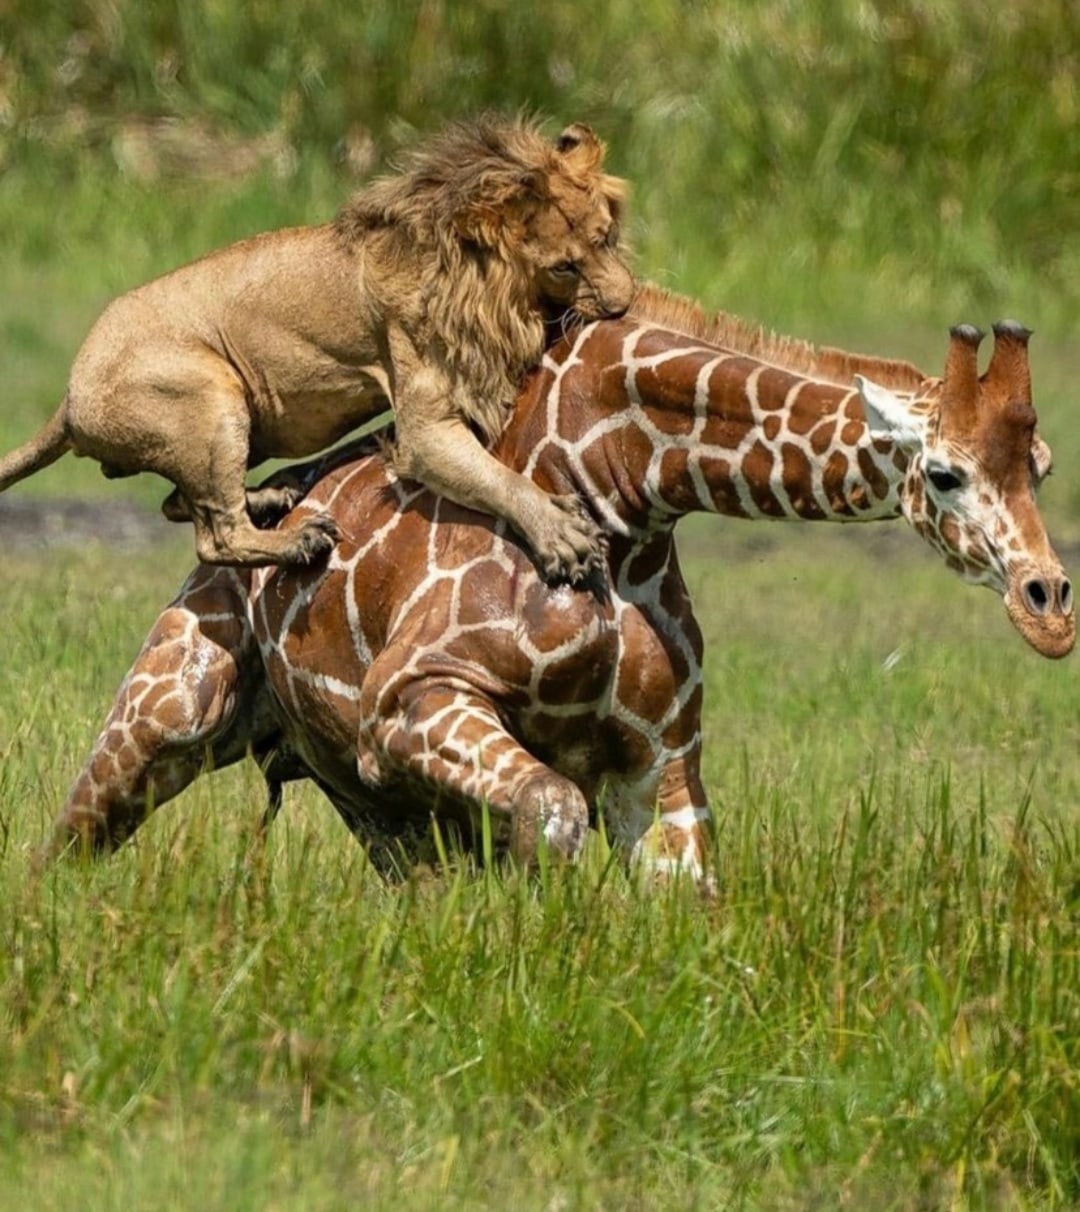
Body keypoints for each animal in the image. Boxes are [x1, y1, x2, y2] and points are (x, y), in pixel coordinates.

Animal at [0, 113, 635, 576]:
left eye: (605, 237)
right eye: (562, 267)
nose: (626, 302)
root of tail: (67, 399)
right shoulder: (426, 431)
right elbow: (497, 479)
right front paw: (560, 534)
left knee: (180, 503)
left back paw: (271, 498)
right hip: (211, 394)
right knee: (214, 536)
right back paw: (297, 541)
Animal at [42, 288, 1071, 887]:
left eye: (1043, 467)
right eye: (943, 473)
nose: (1049, 606)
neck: (624, 500)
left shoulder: (661, 766)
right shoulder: (412, 702)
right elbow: (551, 823)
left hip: (363, 802)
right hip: (171, 709)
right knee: (66, 845)